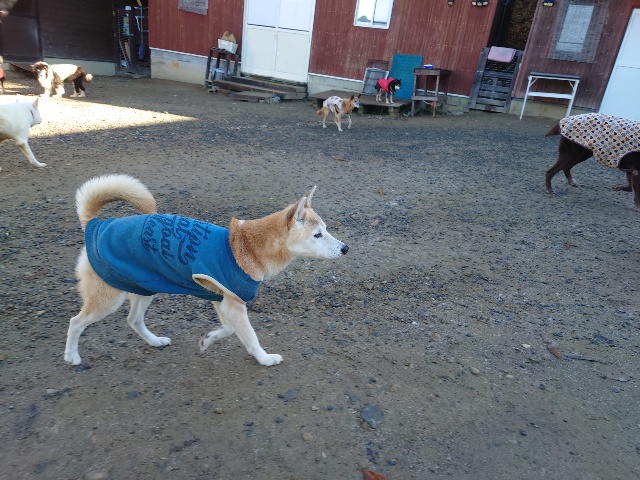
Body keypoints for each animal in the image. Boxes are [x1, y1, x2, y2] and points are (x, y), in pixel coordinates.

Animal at [64, 174, 349, 367]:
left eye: (326, 229)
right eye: (318, 234)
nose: (346, 248)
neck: (246, 246)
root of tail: (95, 225)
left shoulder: (223, 300)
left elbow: (229, 330)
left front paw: (208, 339)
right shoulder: (233, 304)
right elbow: (250, 337)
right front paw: (265, 358)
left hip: (144, 287)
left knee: (133, 320)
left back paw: (155, 341)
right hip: (109, 298)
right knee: (76, 322)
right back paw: (71, 355)